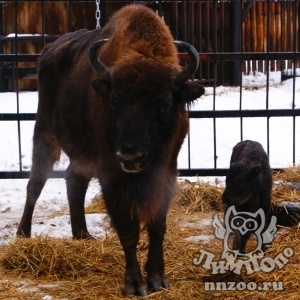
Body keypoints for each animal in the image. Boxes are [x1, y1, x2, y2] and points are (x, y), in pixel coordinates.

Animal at [15, 4, 204, 298]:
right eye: (115, 100)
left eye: (164, 103)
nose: (130, 156)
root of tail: (48, 51)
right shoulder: (111, 174)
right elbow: (128, 230)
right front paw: (135, 284)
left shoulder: (167, 171)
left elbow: (157, 226)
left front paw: (157, 279)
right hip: (44, 133)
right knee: (35, 183)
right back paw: (23, 233)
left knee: (74, 180)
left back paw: (82, 234)